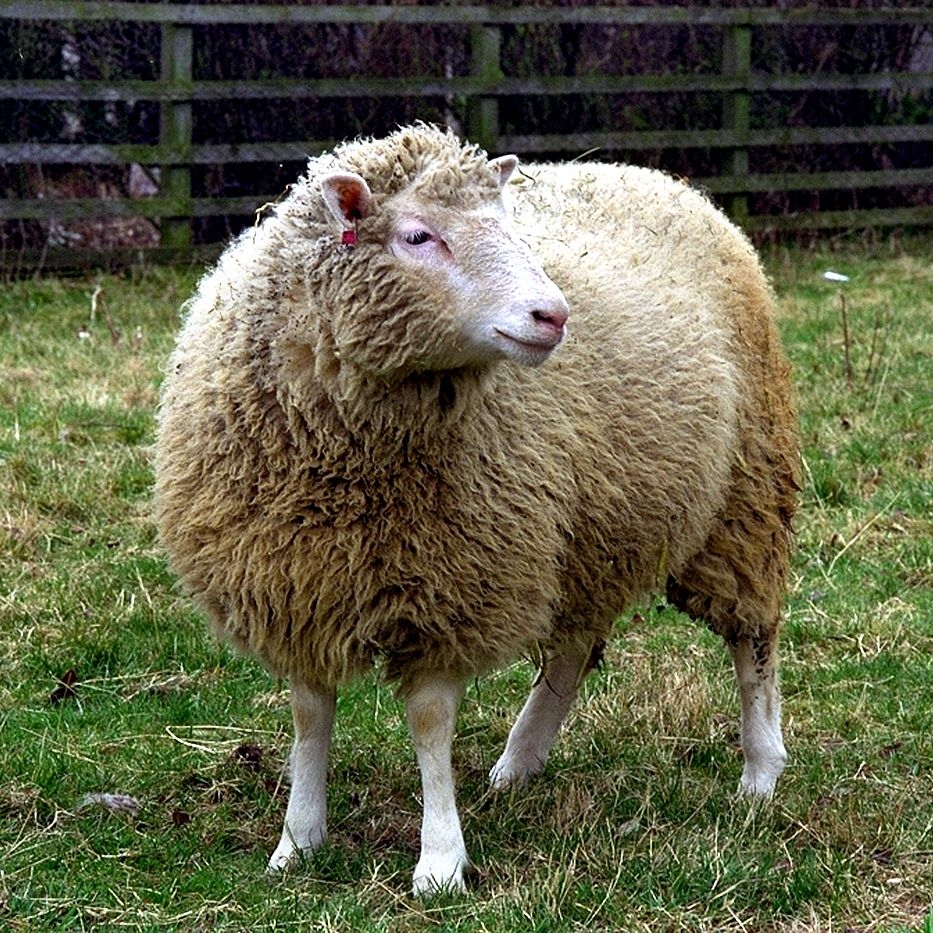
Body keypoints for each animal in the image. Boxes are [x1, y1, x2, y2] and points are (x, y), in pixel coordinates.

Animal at [154, 124, 799, 896]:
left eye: (509, 223)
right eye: (417, 235)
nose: (553, 315)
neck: (348, 466)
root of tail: (646, 173)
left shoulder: (453, 582)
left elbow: (430, 721)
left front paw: (438, 860)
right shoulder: (299, 582)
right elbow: (310, 714)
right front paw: (298, 840)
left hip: (744, 492)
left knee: (751, 638)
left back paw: (760, 772)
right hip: (591, 526)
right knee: (574, 647)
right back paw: (518, 763)